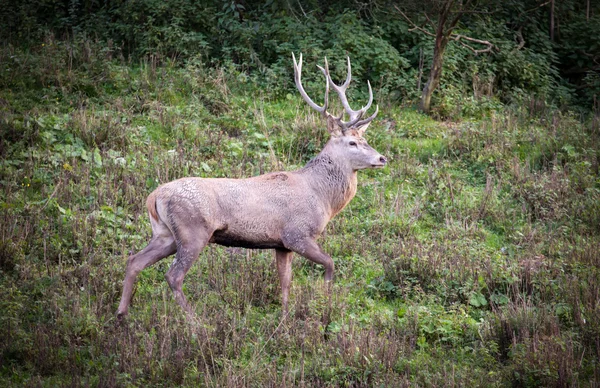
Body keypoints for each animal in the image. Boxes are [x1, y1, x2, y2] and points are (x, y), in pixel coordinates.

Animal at [116, 53, 390, 318]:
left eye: (365, 138)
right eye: (352, 143)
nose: (382, 158)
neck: (322, 197)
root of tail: (154, 196)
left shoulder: (281, 244)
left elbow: (285, 283)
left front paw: (284, 319)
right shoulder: (297, 234)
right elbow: (330, 263)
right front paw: (325, 304)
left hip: (165, 233)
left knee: (134, 260)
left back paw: (122, 314)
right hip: (193, 231)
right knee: (173, 275)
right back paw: (195, 323)